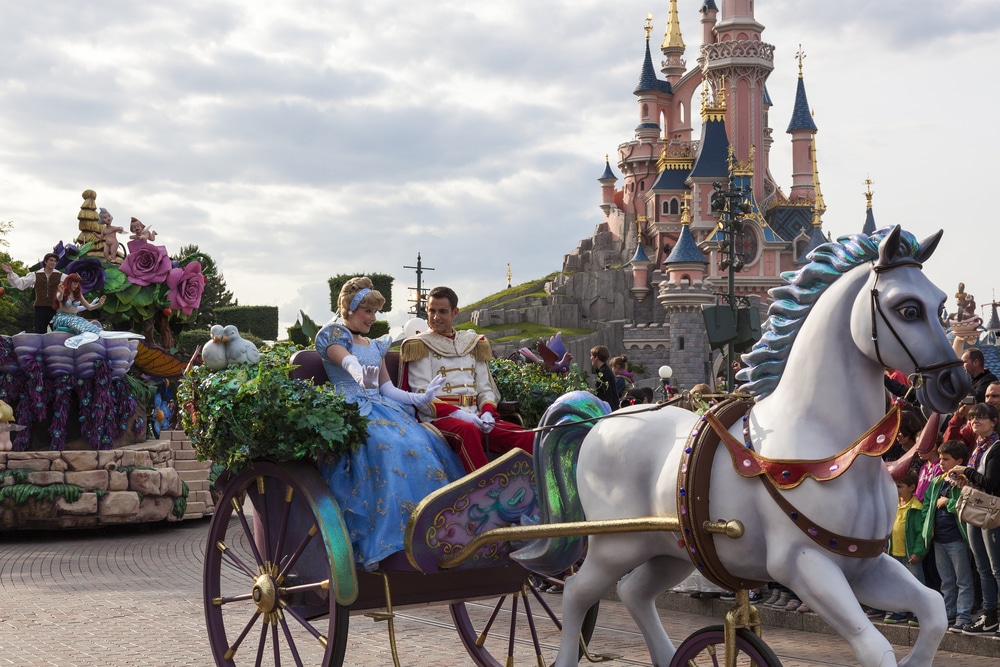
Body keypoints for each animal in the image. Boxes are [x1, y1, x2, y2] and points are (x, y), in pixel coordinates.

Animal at [520, 227, 972, 664]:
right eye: (908, 309)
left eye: (942, 305)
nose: (956, 383)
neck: (832, 447)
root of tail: (602, 419)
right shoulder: (802, 563)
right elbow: (875, 648)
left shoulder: (865, 565)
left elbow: (933, 611)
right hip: (616, 544)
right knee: (577, 591)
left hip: (669, 549)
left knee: (633, 592)